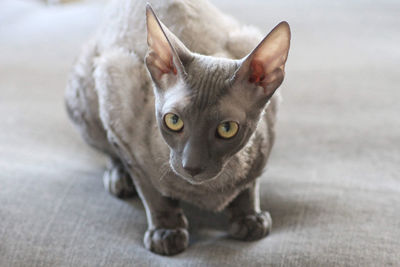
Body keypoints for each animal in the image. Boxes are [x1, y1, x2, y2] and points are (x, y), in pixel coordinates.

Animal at [65, 0, 290, 255]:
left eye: (227, 128)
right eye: (174, 121)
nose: (191, 166)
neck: (208, 191)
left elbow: (250, 183)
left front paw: (249, 217)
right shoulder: (119, 114)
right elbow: (152, 192)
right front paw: (166, 231)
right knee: (108, 150)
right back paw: (119, 178)